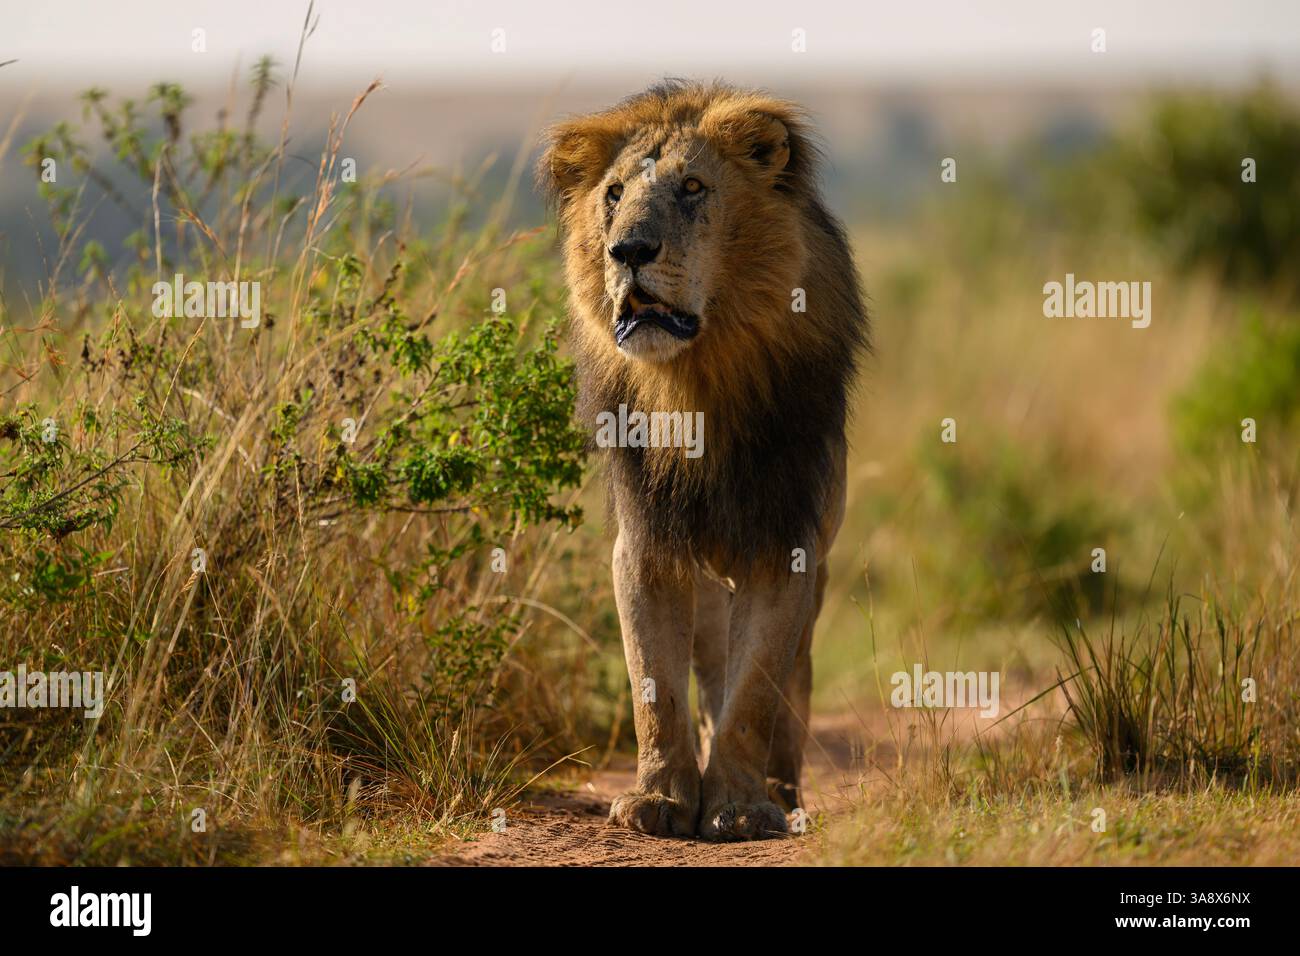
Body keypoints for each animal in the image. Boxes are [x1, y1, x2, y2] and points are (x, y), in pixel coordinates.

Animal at [538, 81, 868, 840]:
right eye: (613, 194)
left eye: (692, 187)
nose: (628, 249)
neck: (696, 383)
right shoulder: (646, 543)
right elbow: (654, 685)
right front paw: (658, 798)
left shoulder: (786, 543)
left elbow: (756, 692)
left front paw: (742, 806)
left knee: (792, 679)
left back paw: (781, 788)